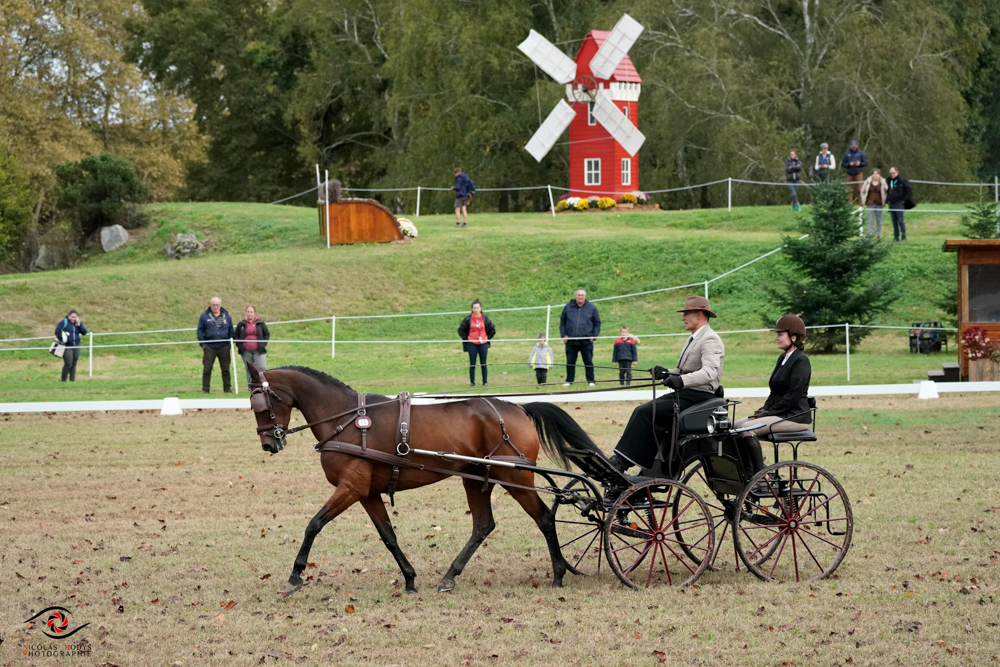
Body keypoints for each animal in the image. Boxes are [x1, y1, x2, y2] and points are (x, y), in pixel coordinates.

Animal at [242, 366, 600, 596]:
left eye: (260, 403)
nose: (268, 444)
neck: (347, 420)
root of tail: (517, 407)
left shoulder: (350, 489)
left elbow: (313, 525)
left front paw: (295, 575)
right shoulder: (366, 493)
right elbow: (388, 536)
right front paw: (410, 578)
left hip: (514, 476)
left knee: (544, 518)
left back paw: (558, 573)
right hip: (476, 478)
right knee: (483, 525)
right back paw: (449, 577)